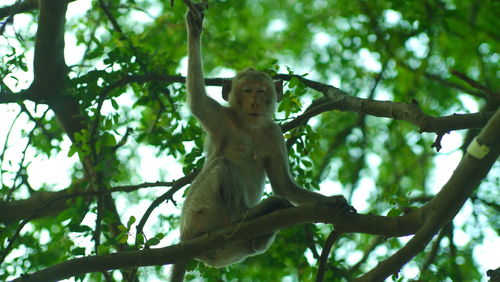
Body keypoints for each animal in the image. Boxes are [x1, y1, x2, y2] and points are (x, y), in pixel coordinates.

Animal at [172, 1, 356, 280]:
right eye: (247, 91)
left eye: (261, 92)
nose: (254, 103)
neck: (249, 128)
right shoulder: (220, 117)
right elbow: (197, 99)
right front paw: (194, 28)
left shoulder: (273, 133)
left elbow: (284, 185)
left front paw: (332, 201)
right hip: (197, 212)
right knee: (223, 166)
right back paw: (247, 215)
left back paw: (261, 228)